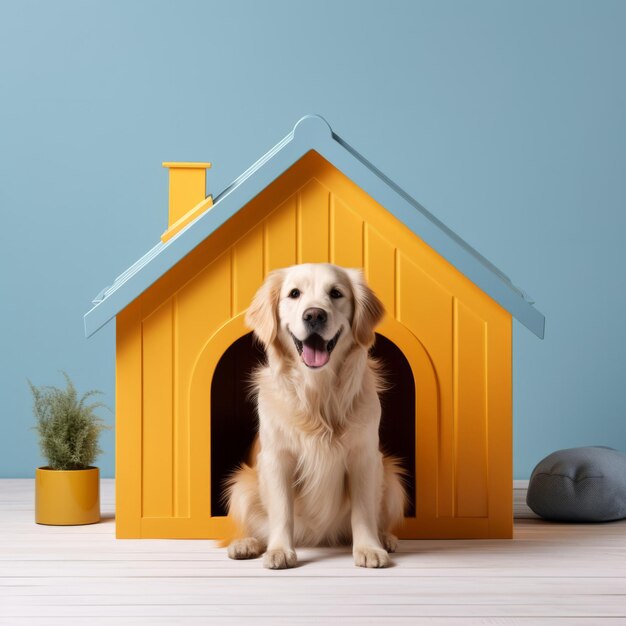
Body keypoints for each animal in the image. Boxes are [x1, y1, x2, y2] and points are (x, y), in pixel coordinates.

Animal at [224, 262, 404, 564]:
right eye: (294, 293)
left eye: (336, 293)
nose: (314, 315)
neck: (318, 393)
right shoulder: (277, 459)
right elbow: (282, 512)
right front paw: (280, 550)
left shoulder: (364, 457)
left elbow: (363, 511)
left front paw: (369, 548)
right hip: (241, 487)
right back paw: (246, 544)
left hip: (391, 479)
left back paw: (387, 539)